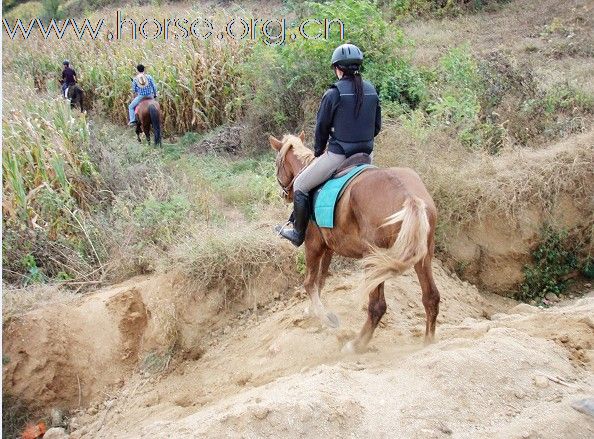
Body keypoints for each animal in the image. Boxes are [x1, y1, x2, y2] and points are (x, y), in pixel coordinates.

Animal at [270, 131, 440, 354]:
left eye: (277, 164)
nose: (284, 194)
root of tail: (408, 196)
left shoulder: (313, 244)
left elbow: (309, 282)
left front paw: (325, 317)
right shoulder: (329, 247)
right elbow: (320, 280)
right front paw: (313, 310)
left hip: (373, 258)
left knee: (377, 306)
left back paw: (356, 344)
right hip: (422, 254)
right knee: (431, 297)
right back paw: (428, 343)